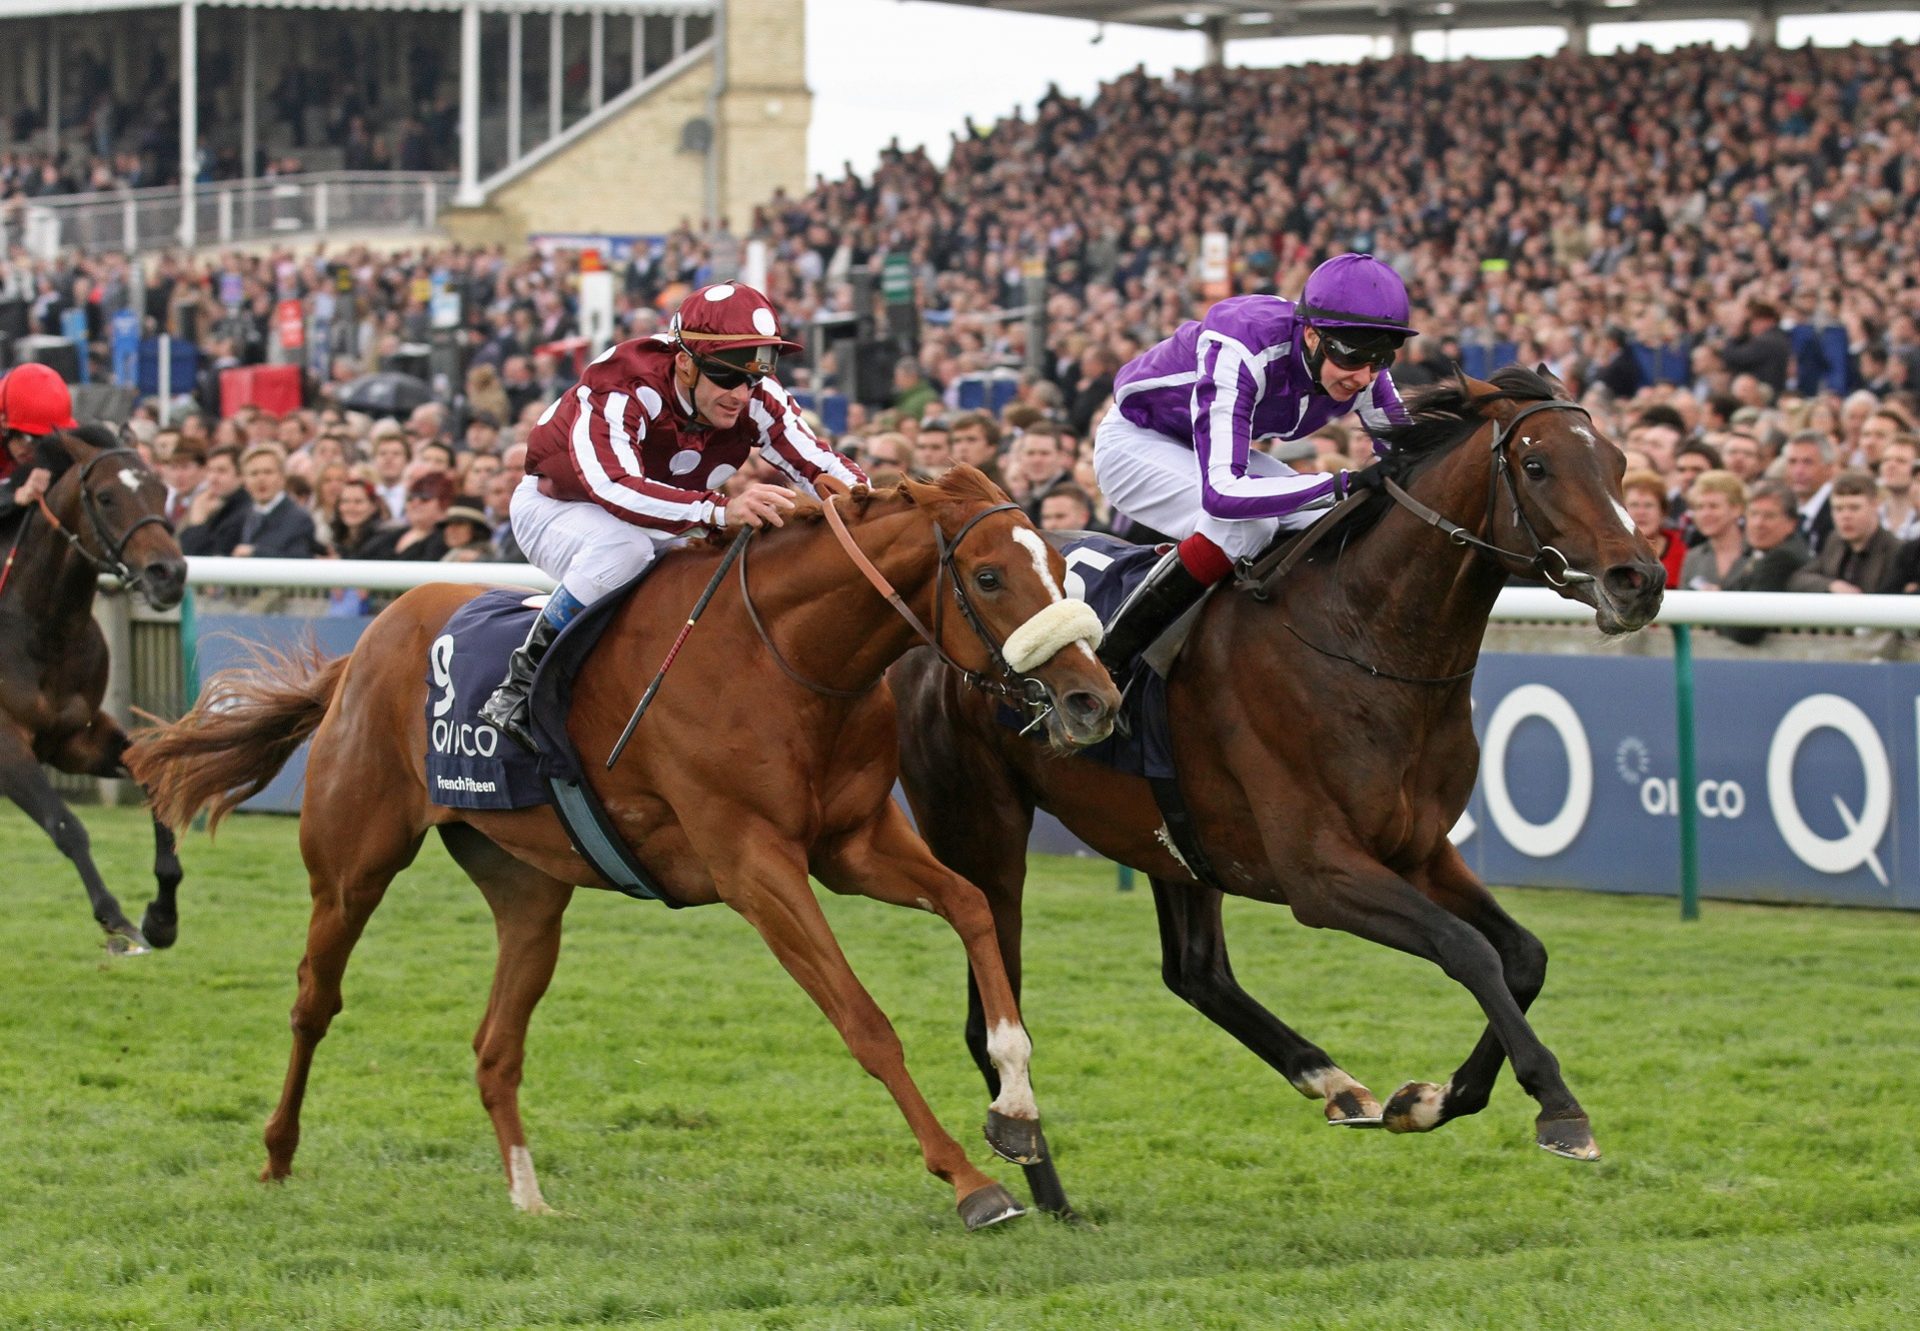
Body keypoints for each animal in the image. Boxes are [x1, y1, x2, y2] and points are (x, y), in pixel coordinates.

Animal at [2, 420, 187, 948]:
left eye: (161, 489)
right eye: (105, 497)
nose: (169, 574)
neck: (42, 627)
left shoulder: (73, 739)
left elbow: (155, 779)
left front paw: (162, 917)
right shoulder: (6, 744)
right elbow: (65, 824)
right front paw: (115, 917)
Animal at [127, 464, 1121, 1221]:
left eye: (1060, 568)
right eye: (988, 577)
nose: (1093, 700)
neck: (787, 660)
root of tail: (366, 647)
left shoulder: (853, 842)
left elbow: (970, 905)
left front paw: (1016, 1104)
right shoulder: (753, 863)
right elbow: (863, 1020)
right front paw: (970, 1181)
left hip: (528, 893)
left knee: (494, 1045)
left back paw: (529, 1196)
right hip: (351, 866)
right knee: (313, 1001)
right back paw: (277, 1153)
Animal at [890, 366, 1658, 1213]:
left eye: (1620, 462)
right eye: (1538, 465)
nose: (1640, 580)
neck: (1362, 640)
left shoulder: (1421, 851)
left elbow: (1523, 954)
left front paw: (1425, 1099)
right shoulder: (1320, 873)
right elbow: (1468, 950)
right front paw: (1557, 1105)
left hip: (1169, 838)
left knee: (1195, 971)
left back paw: (1334, 1082)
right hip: (982, 824)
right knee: (991, 1011)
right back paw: (1042, 1181)